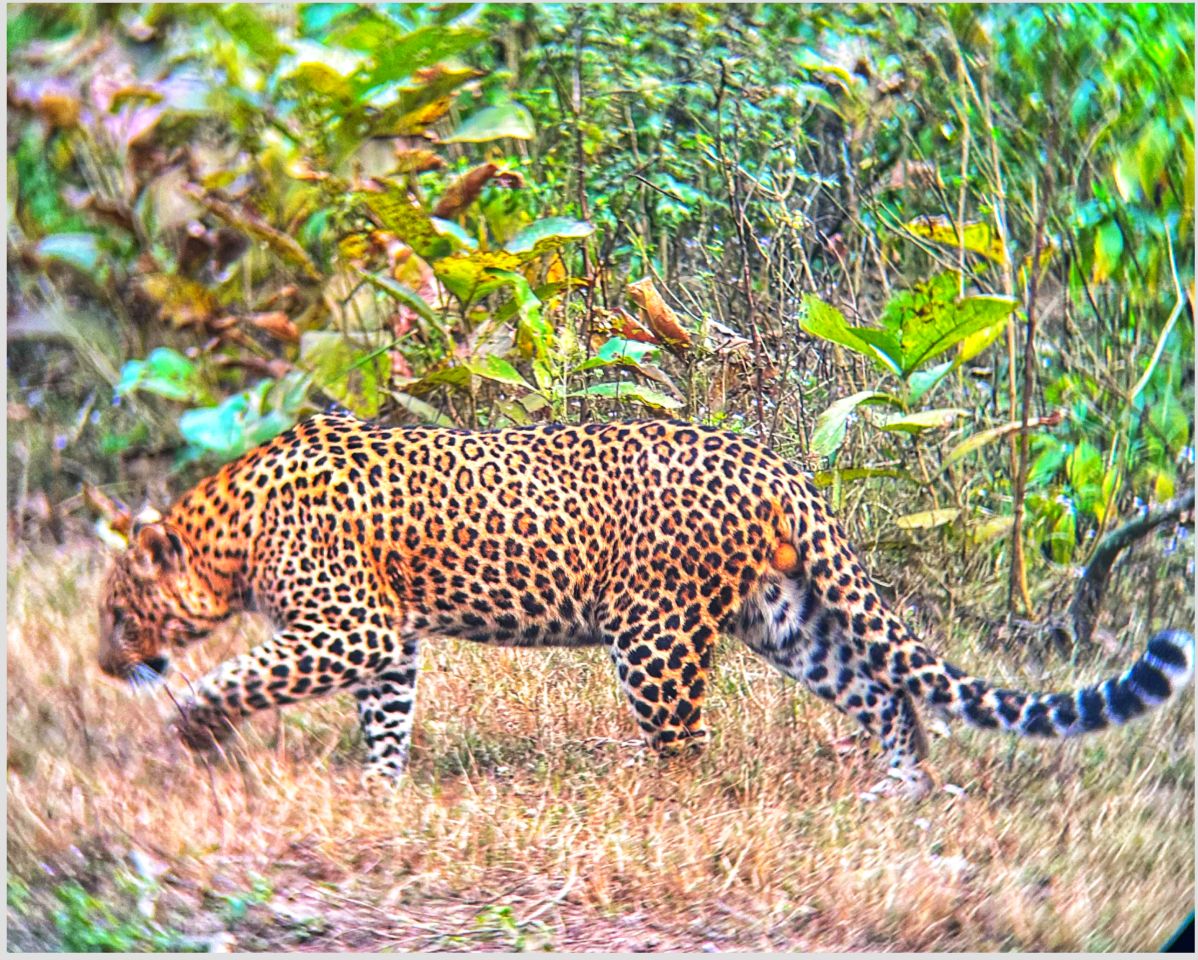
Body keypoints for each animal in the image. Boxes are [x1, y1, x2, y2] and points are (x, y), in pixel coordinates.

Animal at [97, 413, 1194, 796]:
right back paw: (903, 791)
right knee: (886, 692)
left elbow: (241, 674)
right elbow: (386, 716)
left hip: (654, 636)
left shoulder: (349, 627)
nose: (107, 666)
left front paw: (193, 728)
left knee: (685, 743)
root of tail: (778, 464)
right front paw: (378, 790)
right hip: (788, 618)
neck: (231, 533)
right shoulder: (388, 640)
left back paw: (644, 797)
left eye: (115, 614)